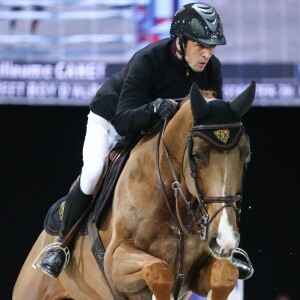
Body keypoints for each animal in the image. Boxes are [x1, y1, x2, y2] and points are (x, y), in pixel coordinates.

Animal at [12, 81, 255, 300]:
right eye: (197, 155)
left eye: (246, 155)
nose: (225, 239)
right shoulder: (115, 261)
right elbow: (159, 271)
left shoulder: (198, 271)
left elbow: (225, 273)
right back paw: (53, 258)